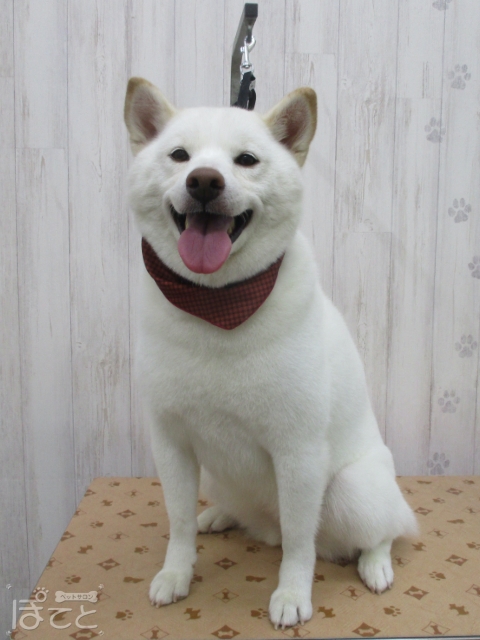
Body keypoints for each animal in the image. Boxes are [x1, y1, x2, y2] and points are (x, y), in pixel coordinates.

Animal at [124, 77, 418, 629]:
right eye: (179, 155)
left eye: (246, 160)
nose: (204, 181)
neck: (218, 306)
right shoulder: (172, 441)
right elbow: (178, 523)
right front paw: (176, 574)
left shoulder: (297, 450)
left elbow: (300, 545)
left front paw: (292, 594)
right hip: (221, 477)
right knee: (243, 514)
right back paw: (220, 515)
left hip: (351, 490)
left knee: (383, 529)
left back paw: (375, 564)